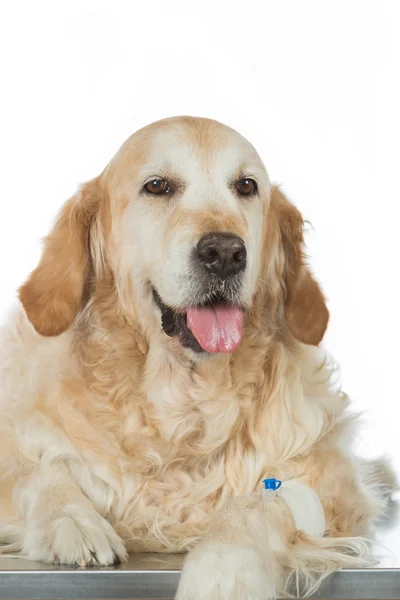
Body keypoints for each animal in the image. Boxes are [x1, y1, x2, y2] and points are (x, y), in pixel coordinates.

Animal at [0, 116, 396, 596]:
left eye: (246, 185)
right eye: (157, 186)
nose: (225, 253)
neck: (184, 401)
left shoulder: (325, 487)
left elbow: (255, 504)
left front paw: (224, 571)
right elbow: (34, 473)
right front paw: (71, 521)